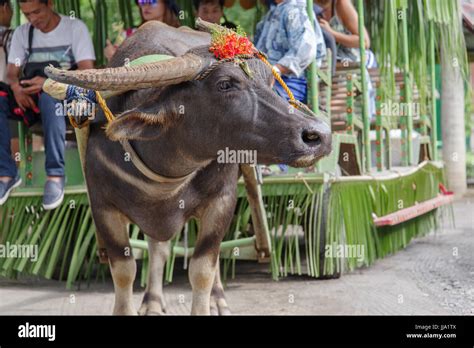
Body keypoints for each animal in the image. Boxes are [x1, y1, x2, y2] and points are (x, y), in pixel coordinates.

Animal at [46, 21, 332, 316]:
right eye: (225, 84)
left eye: (270, 81)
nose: (319, 135)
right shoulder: (103, 207)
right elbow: (125, 272)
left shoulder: (221, 201)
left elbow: (203, 268)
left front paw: (210, 298)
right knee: (158, 248)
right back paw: (152, 300)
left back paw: (217, 298)